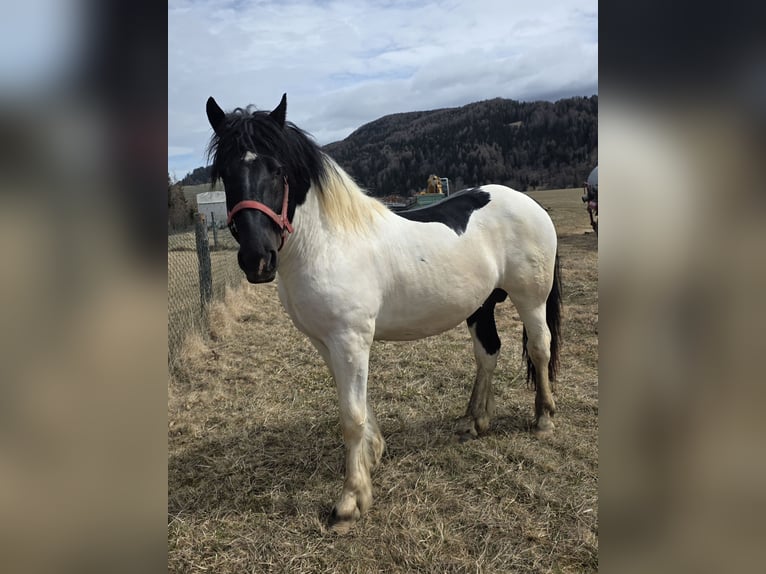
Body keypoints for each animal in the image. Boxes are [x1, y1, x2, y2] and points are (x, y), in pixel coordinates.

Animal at [205, 93, 562, 533]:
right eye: (225, 172)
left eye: (278, 169)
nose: (257, 259)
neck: (328, 243)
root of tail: (531, 204)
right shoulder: (327, 342)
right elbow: (354, 404)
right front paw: (373, 455)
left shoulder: (350, 340)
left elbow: (351, 415)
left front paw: (350, 501)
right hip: (480, 306)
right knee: (488, 354)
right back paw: (473, 421)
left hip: (531, 298)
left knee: (540, 348)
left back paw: (543, 419)